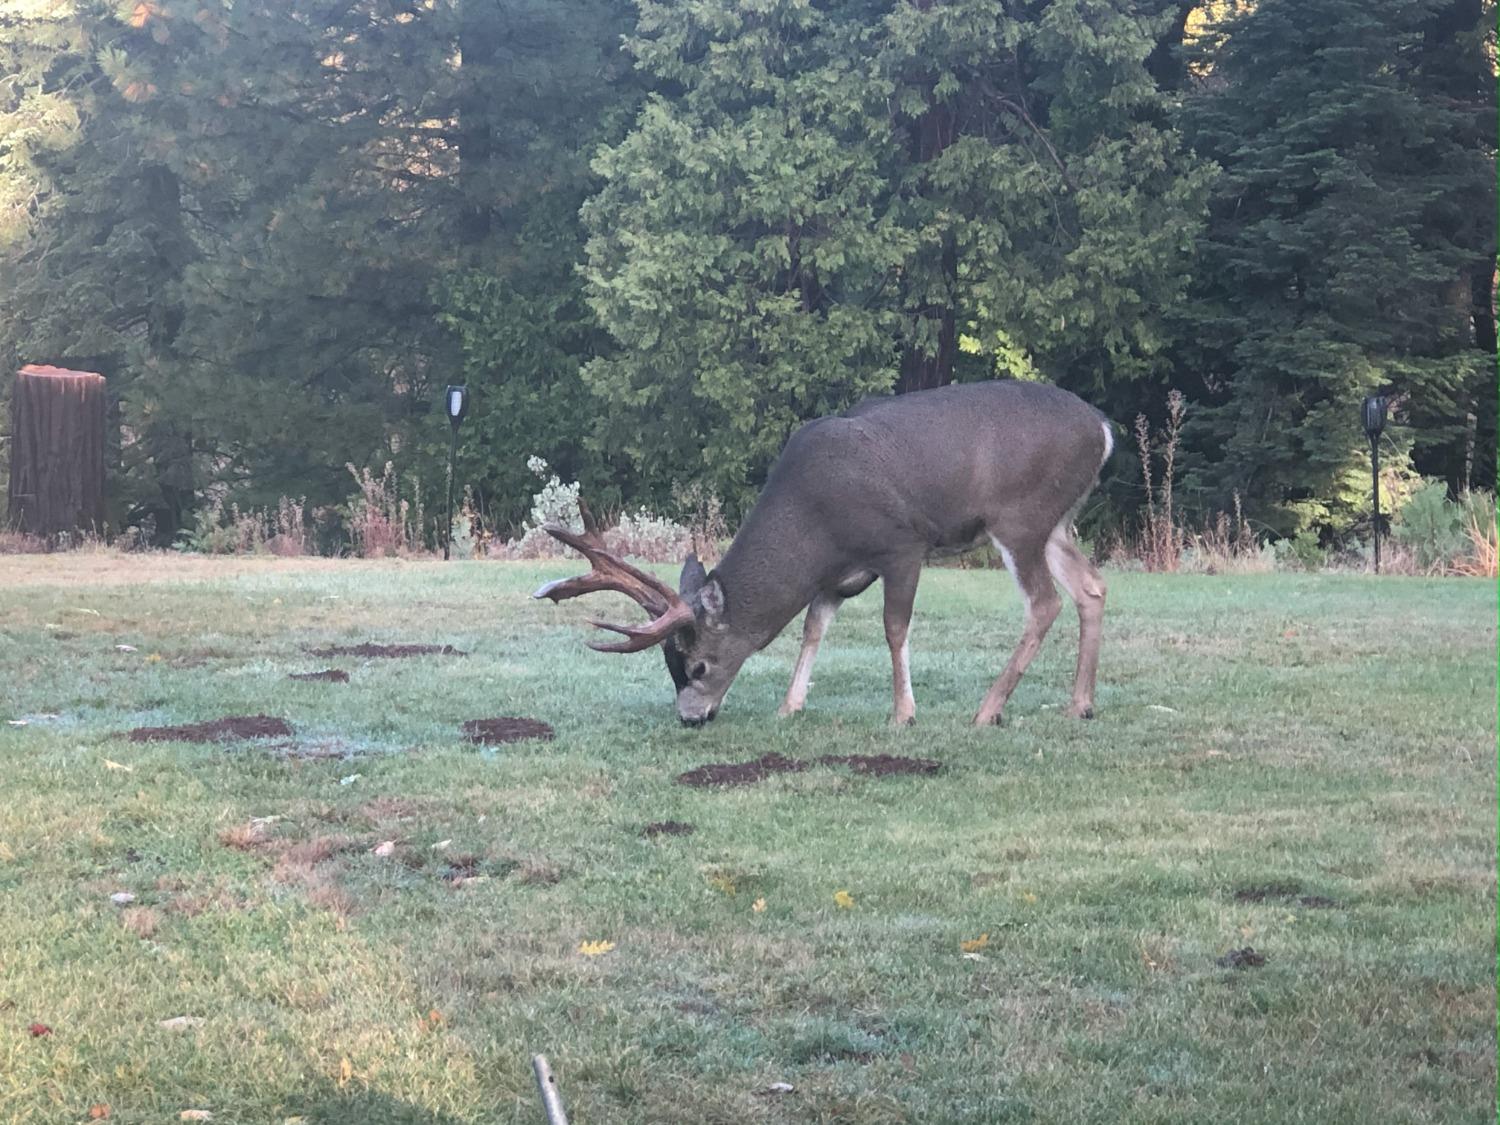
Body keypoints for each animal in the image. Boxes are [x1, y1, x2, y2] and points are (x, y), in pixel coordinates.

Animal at [534, 384, 1110, 726]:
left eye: (697, 665)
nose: (691, 718)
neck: (816, 520)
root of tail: (1104, 430)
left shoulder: (901, 544)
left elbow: (894, 628)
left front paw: (903, 713)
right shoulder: (835, 576)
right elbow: (813, 629)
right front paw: (790, 705)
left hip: (1020, 516)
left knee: (1044, 603)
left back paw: (987, 710)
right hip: (1056, 521)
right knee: (1092, 586)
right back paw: (1079, 704)